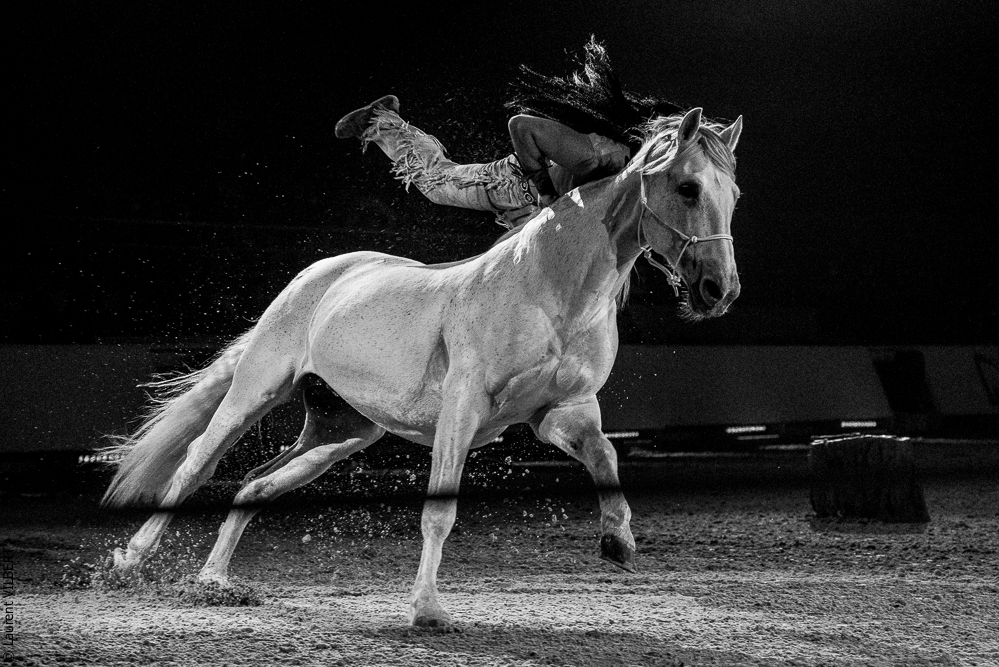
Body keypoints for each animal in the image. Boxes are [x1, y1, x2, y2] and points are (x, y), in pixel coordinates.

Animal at [101, 107, 743, 628]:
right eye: (687, 187)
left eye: (732, 194)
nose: (720, 290)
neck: (550, 286)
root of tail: (319, 274)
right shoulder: (462, 409)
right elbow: (439, 513)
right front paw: (427, 610)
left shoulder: (562, 411)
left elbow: (606, 457)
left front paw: (617, 540)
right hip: (256, 391)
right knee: (194, 466)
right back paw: (129, 562)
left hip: (340, 429)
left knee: (256, 482)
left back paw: (213, 582)